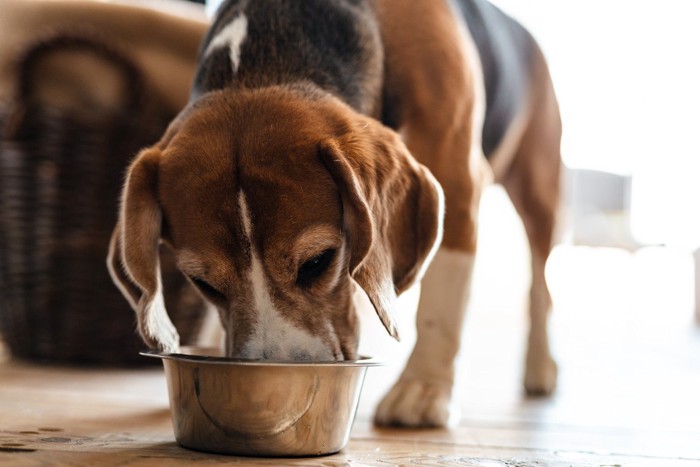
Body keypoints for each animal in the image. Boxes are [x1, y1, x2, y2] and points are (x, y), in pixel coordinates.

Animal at [106, 0, 560, 428]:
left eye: (317, 262)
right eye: (203, 284)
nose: (273, 383)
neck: (267, 60)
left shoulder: (458, 179)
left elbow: (441, 309)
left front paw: (423, 391)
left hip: (539, 190)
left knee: (541, 282)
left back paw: (540, 368)